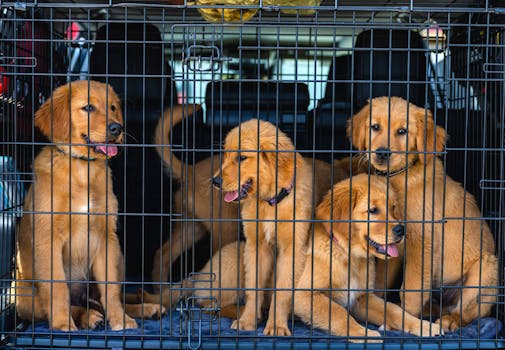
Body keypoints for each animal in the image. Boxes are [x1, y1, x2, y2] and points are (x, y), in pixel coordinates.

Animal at [152, 107, 344, 292]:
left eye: (242, 157)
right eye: (225, 156)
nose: (215, 182)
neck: (272, 200)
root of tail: (190, 171)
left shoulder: (292, 246)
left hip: (193, 226)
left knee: (163, 253)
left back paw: (160, 289)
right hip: (223, 227)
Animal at [292, 174, 440, 340]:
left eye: (393, 207)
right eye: (373, 210)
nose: (401, 229)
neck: (350, 255)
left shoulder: (361, 297)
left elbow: (393, 310)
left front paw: (423, 326)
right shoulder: (304, 295)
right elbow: (339, 314)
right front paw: (364, 334)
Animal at [346, 95, 496, 330]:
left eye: (402, 131)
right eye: (375, 127)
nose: (382, 153)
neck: (399, 177)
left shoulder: (421, 240)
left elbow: (411, 290)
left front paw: (408, 321)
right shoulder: (392, 243)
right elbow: (381, 282)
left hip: (487, 269)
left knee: (467, 312)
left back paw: (451, 320)